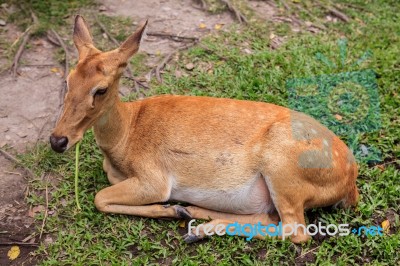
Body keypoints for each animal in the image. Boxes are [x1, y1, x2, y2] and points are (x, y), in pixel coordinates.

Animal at [50, 15, 360, 243]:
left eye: (100, 89)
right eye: (67, 79)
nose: (57, 140)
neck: (124, 140)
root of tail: (350, 181)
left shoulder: (154, 178)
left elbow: (99, 198)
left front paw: (170, 209)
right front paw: (176, 210)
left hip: (283, 167)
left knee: (296, 231)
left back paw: (197, 226)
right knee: (269, 217)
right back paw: (195, 217)